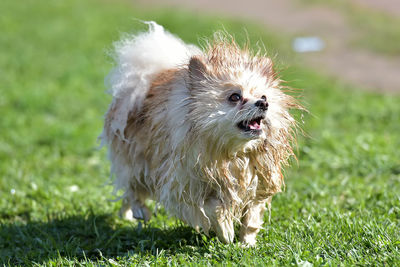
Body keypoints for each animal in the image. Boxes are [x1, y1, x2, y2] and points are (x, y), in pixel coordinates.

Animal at [101, 22, 304, 246]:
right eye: (235, 97)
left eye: (264, 96)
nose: (263, 103)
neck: (233, 154)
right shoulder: (184, 186)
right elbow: (213, 208)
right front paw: (225, 231)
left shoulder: (257, 183)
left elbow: (251, 216)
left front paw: (246, 243)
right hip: (136, 162)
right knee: (133, 189)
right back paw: (138, 212)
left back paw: (127, 216)